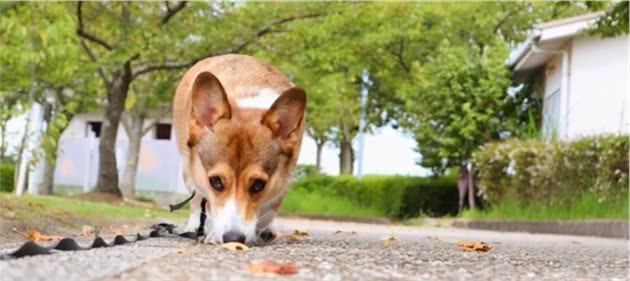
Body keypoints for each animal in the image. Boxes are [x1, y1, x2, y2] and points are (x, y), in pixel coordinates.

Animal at [174, 54, 308, 243]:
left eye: (258, 185)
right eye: (216, 182)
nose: (233, 238)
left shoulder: (283, 178)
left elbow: (270, 208)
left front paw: (263, 228)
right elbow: (206, 205)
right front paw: (212, 232)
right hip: (187, 170)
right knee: (196, 201)